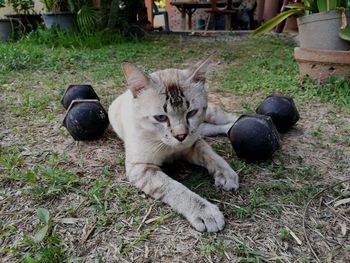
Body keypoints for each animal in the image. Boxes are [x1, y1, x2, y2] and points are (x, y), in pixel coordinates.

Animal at [109, 54, 239, 232]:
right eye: (161, 117)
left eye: (191, 113)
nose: (181, 136)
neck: (170, 148)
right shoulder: (141, 167)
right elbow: (175, 188)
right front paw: (206, 212)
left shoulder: (194, 142)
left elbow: (213, 156)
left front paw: (227, 175)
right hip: (203, 129)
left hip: (209, 118)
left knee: (232, 118)